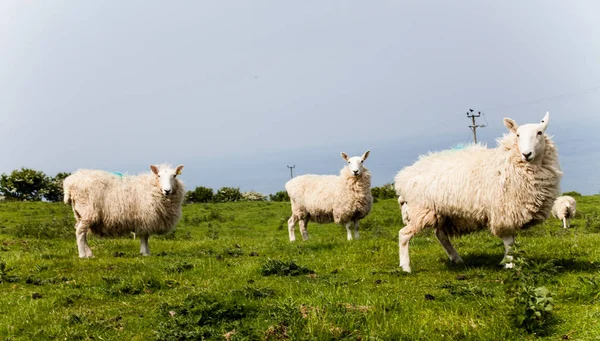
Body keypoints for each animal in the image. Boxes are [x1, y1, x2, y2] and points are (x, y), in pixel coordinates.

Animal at [394, 113, 564, 272]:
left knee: (441, 235)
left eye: (539, 132)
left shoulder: (510, 213)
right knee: (404, 234)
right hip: (421, 210)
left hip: (442, 213)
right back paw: (406, 267)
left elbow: (512, 241)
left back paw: (456, 259)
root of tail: (403, 177)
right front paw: (509, 264)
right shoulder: (502, 212)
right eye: (517, 135)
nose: (526, 154)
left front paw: (507, 261)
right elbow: (509, 241)